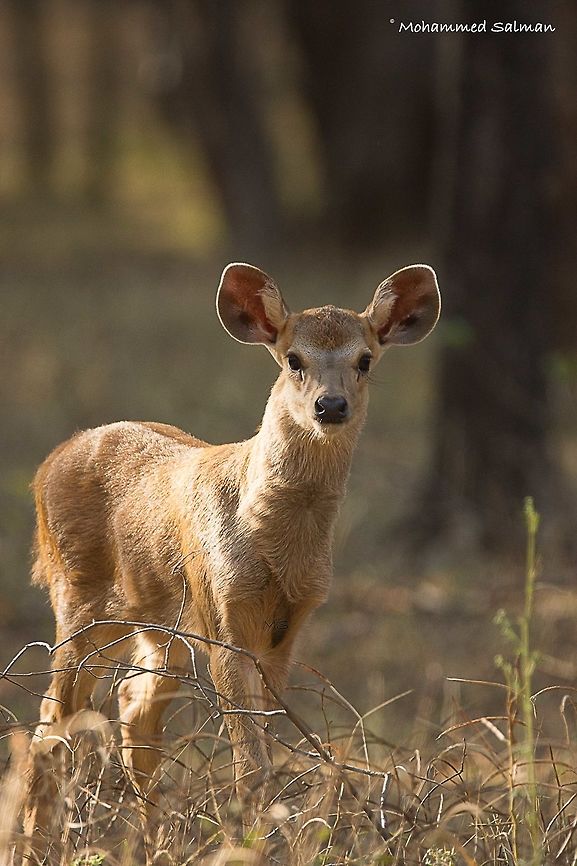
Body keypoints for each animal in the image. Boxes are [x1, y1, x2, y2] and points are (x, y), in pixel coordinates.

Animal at [23, 261, 440, 845]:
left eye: (365, 359)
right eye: (293, 359)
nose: (331, 406)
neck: (271, 544)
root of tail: (47, 466)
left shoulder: (285, 632)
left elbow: (264, 749)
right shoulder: (223, 616)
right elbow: (251, 764)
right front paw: (250, 841)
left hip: (160, 624)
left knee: (133, 712)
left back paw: (150, 845)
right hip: (79, 597)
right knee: (48, 727)